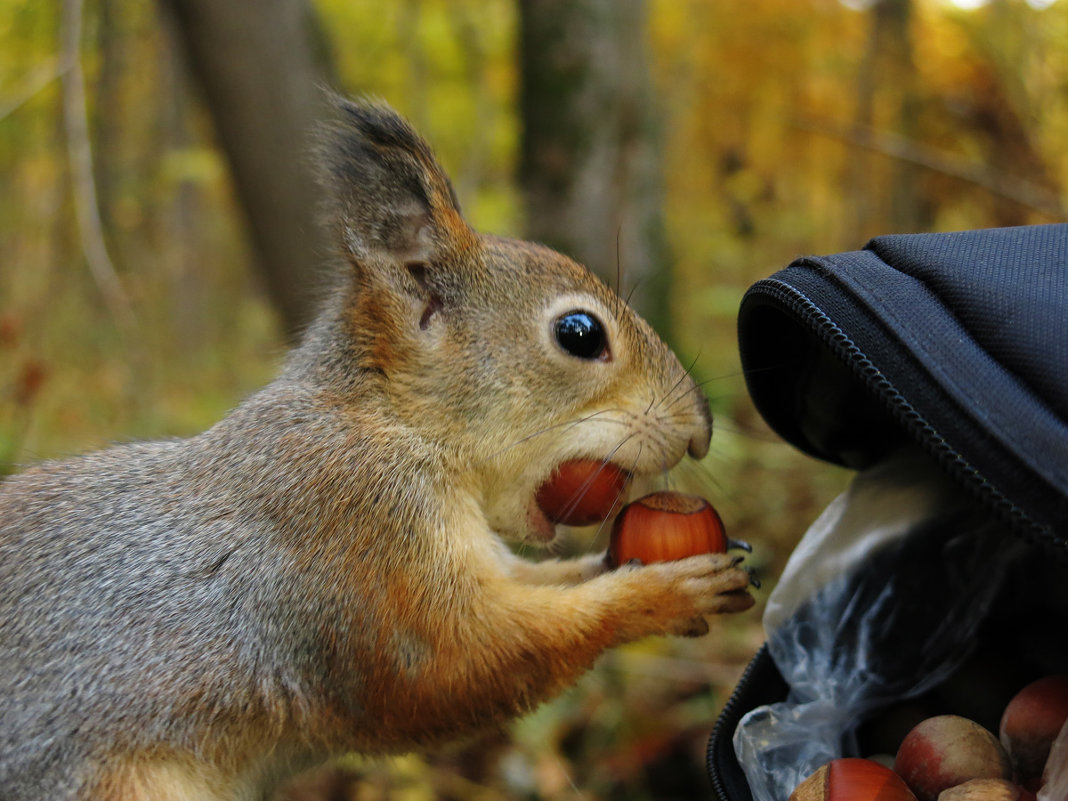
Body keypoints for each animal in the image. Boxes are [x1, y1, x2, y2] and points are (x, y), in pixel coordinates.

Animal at [0, 98, 756, 801]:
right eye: (579, 333)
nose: (701, 429)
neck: (390, 422)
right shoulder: (356, 532)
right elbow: (455, 665)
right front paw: (659, 593)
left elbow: (542, 583)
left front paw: (621, 565)